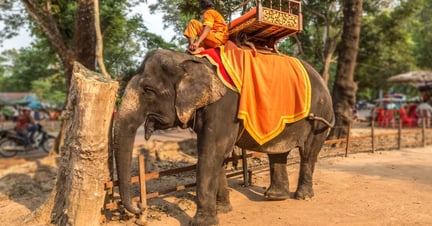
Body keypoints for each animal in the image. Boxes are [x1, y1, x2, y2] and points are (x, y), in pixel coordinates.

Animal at [114, 48, 334, 225]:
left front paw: (202, 222)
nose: (140, 208)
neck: (189, 60)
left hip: (320, 119)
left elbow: (212, 151)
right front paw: (222, 210)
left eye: (148, 91)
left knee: (308, 153)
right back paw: (275, 196)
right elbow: (216, 154)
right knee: (278, 152)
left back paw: (303, 197)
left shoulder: (224, 107)